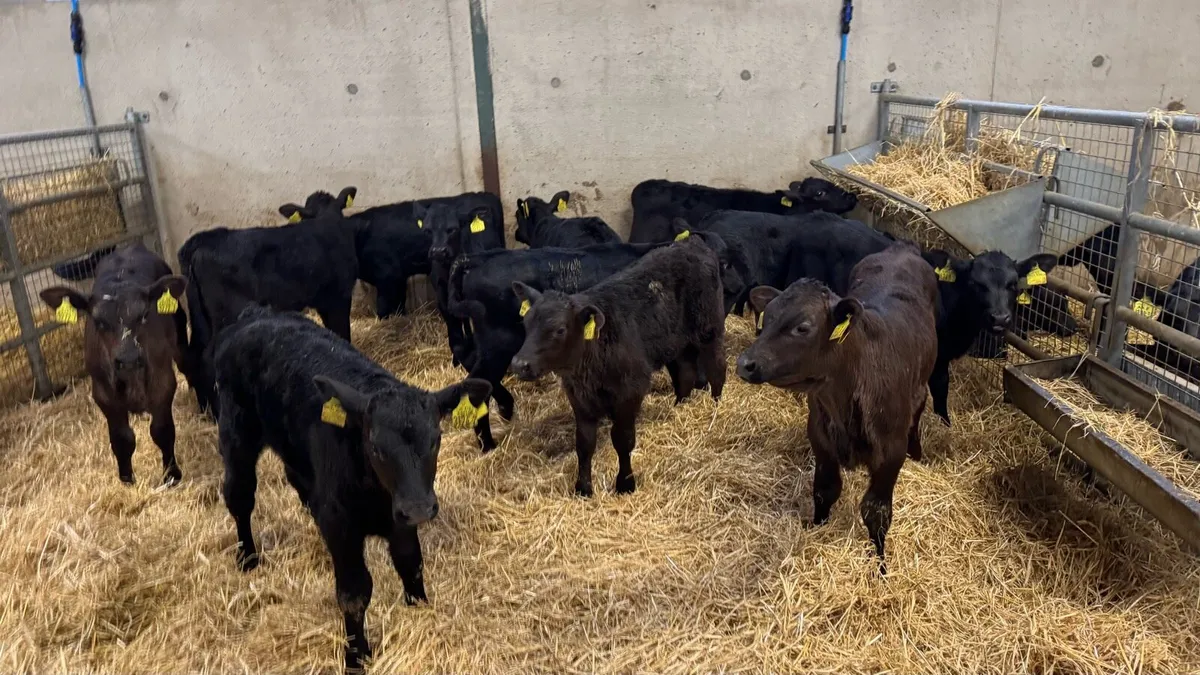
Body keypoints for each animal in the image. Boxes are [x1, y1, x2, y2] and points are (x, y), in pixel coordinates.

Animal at [39, 243, 190, 485]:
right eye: (98, 321)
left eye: (144, 314)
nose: (128, 359)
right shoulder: (103, 394)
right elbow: (122, 438)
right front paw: (127, 479)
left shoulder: (163, 382)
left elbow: (162, 430)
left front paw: (171, 475)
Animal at [211, 305, 491, 673]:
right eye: (376, 447)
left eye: (436, 439)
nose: (419, 508)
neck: (376, 496)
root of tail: (254, 314)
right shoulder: (343, 525)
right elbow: (354, 592)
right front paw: (356, 655)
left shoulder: (399, 518)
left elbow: (410, 563)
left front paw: (420, 609)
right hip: (237, 433)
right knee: (239, 495)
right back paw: (247, 556)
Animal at [509, 236, 726, 497]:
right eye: (526, 322)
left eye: (559, 330)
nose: (519, 364)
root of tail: (691, 242)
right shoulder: (579, 398)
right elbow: (584, 443)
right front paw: (583, 488)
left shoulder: (630, 391)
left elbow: (623, 440)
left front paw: (625, 483)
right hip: (678, 343)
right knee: (685, 375)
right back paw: (679, 408)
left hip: (709, 330)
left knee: (717, 370)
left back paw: (715, 409)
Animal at [736, 242, 939, 574]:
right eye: (766, 320)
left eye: (803, 327)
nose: (746, 363)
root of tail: (901, 247)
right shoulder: (820, 436)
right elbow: (825, 490)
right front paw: (817, 527)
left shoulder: (890, 452)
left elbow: (876, 511)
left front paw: (880, 565)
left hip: (921, 386)